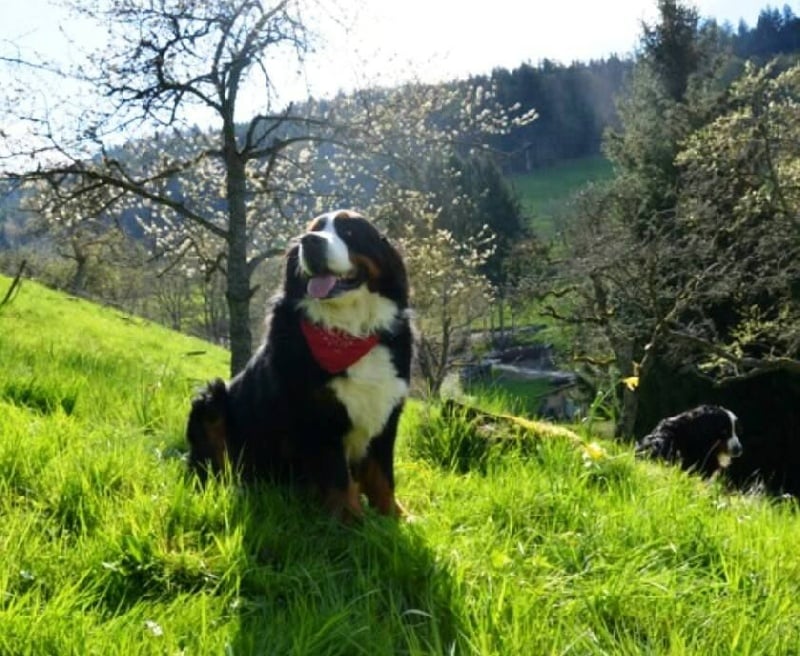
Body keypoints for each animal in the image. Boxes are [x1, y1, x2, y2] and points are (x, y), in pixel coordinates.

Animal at [188, 213, 412, 520]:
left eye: (349, 231)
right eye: (313, 229)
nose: (310, 242)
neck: (348, 330)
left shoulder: (386, 412)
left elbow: (382, 475)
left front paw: (394, 517)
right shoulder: (318, 415)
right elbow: (338, 477)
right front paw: (351, 520)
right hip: (211, 401)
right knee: (216, 467)